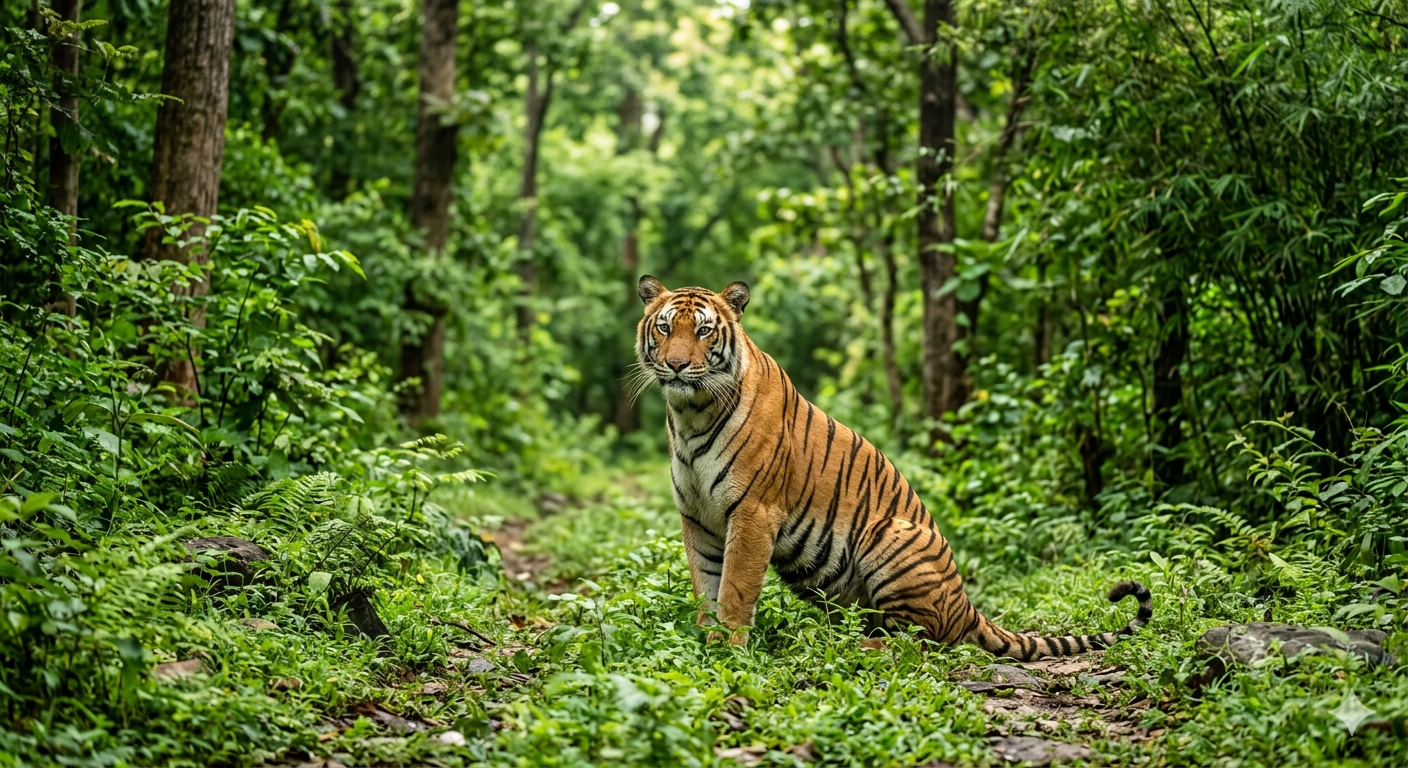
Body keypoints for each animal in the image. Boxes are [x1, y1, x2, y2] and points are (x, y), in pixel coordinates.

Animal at [631, 275, 1152, 660]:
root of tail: (967, 606)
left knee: (922, 640)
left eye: (703, 330)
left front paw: (728, 651)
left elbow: (736, 591)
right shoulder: (698, 518)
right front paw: (704, 644)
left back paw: (848, 646)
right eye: (665, 328)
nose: (676, 366)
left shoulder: (753, 513)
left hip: (892, 538)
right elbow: (706, 586)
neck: (692, 413)